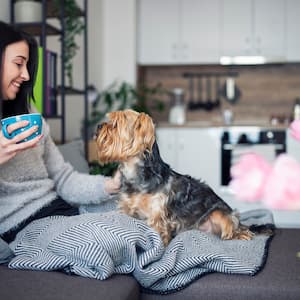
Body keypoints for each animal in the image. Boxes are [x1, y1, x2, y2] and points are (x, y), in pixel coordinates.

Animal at [95, 109, 253, 245]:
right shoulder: (127, 210)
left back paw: (241, 234)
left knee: (234, 229)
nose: (98, 126)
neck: (136, 176)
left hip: (219, 214)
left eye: (116, 124)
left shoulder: (157, 216)